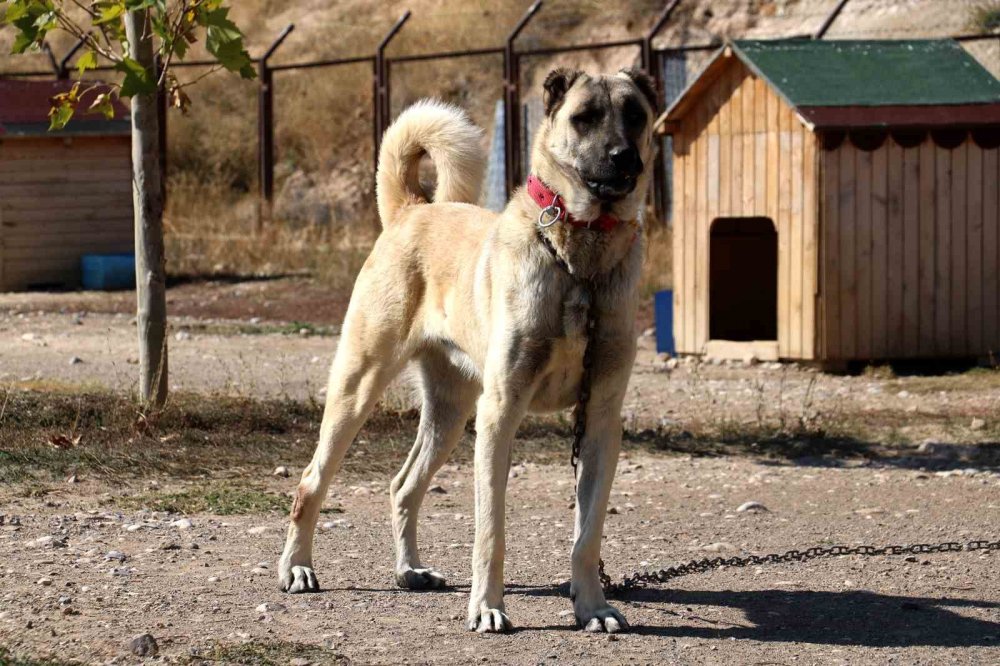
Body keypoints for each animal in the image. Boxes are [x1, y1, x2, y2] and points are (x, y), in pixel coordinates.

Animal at [278, 67, 660, 632]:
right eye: (585, 117)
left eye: (635, 114)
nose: (623, 157)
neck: (580, 258)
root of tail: (412, 211)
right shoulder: (499, 413)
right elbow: (491, 530)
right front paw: (487, 608)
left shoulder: (600, 422)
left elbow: (586, 535)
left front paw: (592, 606)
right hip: (358, 387)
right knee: (311, 482)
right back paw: (298, 567)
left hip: (450, 412)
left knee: (403, 485)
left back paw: (409, 570)